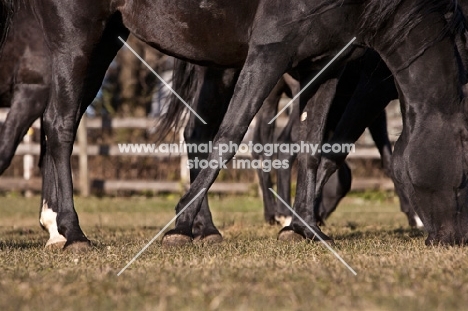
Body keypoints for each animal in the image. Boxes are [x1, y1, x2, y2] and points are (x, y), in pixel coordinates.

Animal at [1, 0, 466, 249]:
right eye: (464, 178)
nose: (455, 239)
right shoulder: (270, 52)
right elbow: (230, 137)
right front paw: (180, 226)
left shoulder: (325, 65)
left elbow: (312, 146)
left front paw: (305, 228)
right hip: (77, 36)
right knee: (60, 125)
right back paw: (71, 231)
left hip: (108, 39)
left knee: (61, 125)